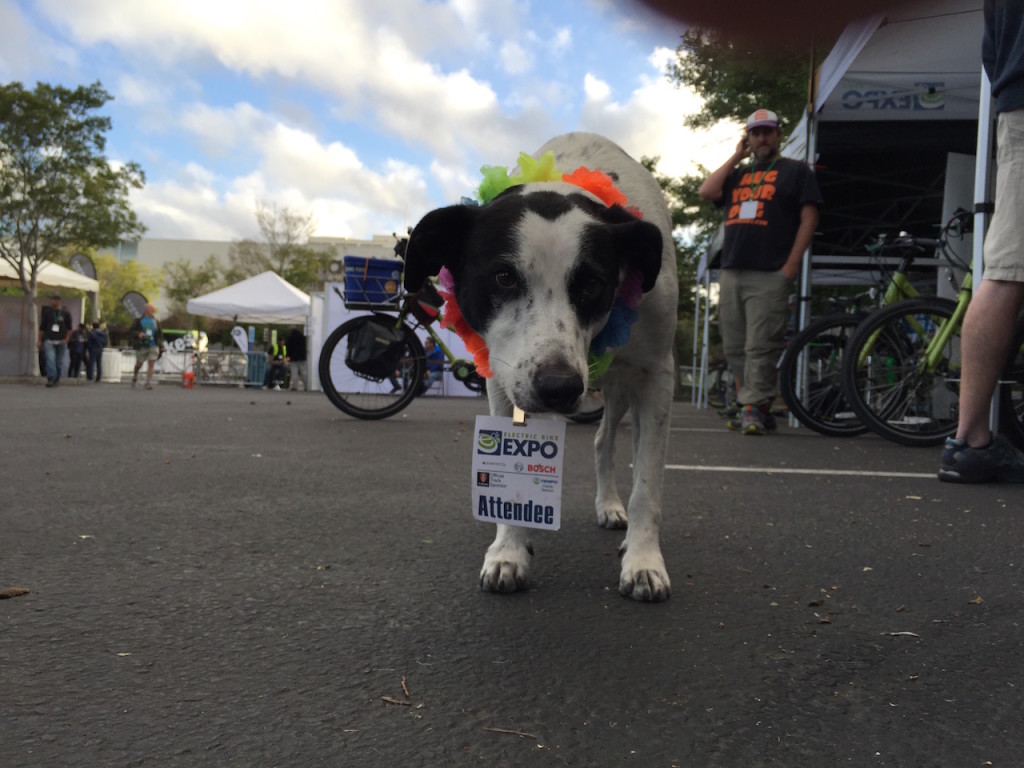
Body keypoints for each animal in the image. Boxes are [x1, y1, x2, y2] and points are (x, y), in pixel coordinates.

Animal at [401, 131, 679, 602]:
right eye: (503, 277)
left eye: (592, 284)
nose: (559, 388)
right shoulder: (501, 378)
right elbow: (506, 468)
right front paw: (508, 552)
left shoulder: (656, 376)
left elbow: (649, 483)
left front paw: (644, 562)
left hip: (624, 387)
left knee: (610, 440)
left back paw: (612, 507)